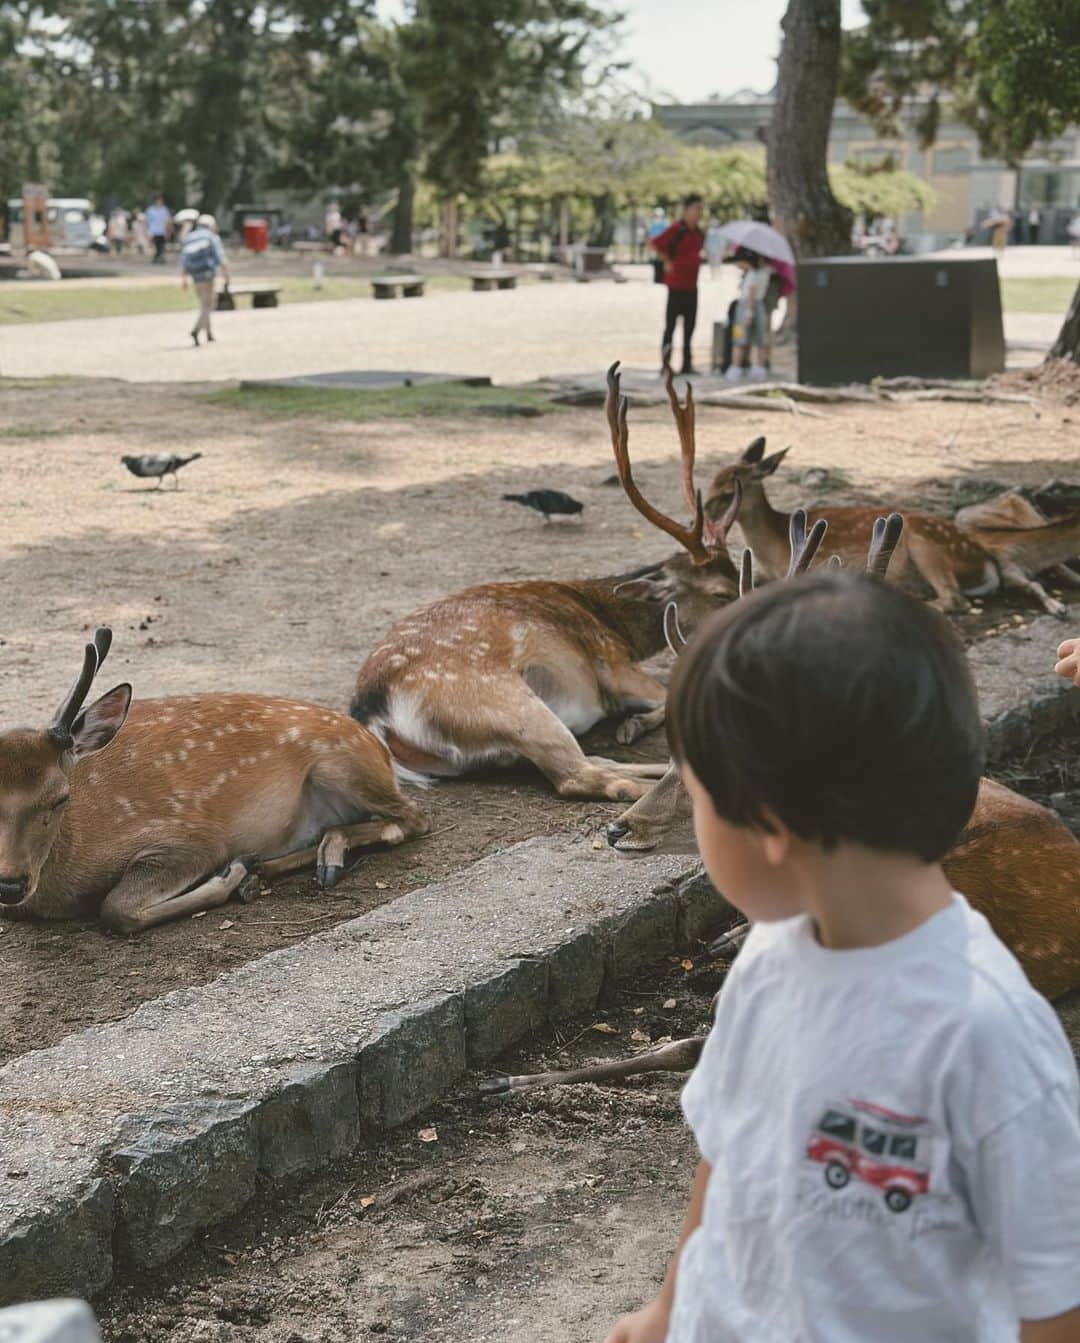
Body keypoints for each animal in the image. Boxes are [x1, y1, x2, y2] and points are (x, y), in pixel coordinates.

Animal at [0, 631, 429, 934]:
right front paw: (242, 872)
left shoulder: (188, 836)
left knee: (414, 817)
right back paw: (266, 870)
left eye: (61, 796)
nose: (10, 884)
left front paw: (229, 872)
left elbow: (116, 908)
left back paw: (318, 859)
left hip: (343, 763)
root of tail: (376, 744)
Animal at [349, 362, 746, 800]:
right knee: (577, 775)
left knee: (592, 762)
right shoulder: (614, 665)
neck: (613, 623)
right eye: (720, 593)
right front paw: (632, 724)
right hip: (509, 704)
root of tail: (373, 712)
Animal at [703, 437, 1074, 615]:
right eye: (714, 477)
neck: (774, 544)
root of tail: (984, 558)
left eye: (729, 490)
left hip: (924, 543)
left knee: (954, 599)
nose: (704, 511)